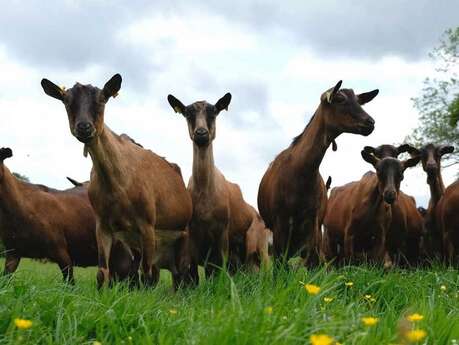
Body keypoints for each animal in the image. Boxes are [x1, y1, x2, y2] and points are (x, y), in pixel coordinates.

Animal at [42, 74, 193, 288]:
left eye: (102, 100)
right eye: (67, 101)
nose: (84, 127)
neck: (119, 186)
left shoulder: (147, 225)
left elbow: (146, 274)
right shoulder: (103, 225)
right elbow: (102, 272)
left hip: (182, 233)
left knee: (179, 271)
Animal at [168, 94, 270, 280]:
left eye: (214, 112)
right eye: (187, 113)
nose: (201, 133)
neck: (205, 193)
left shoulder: (222, 235)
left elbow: (220, 268)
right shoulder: (193, 237)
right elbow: (194, 272)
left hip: (259, 247)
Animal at [256, 80, 380, 266]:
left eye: (359, 101)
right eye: (339, 99)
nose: (370, 122)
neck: (299, 174)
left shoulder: (313, 224)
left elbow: (312, 261)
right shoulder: (279, 224)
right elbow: (280, 263)